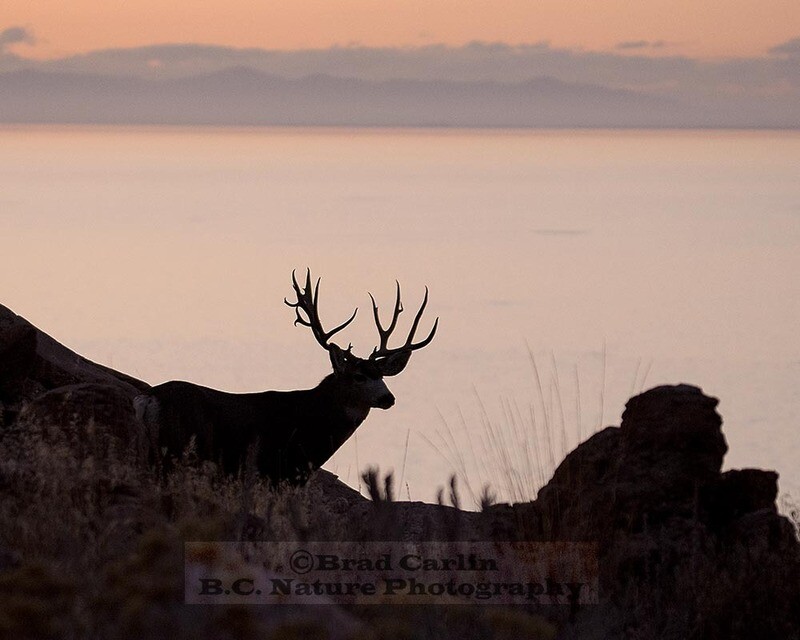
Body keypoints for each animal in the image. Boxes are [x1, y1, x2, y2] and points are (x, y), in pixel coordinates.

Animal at [134, 269, 437, 486]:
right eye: (358, 376)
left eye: (382, 375)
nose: (388, 398)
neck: (311, 423)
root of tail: (149, 398)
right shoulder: (280, 469)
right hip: (175, 449)